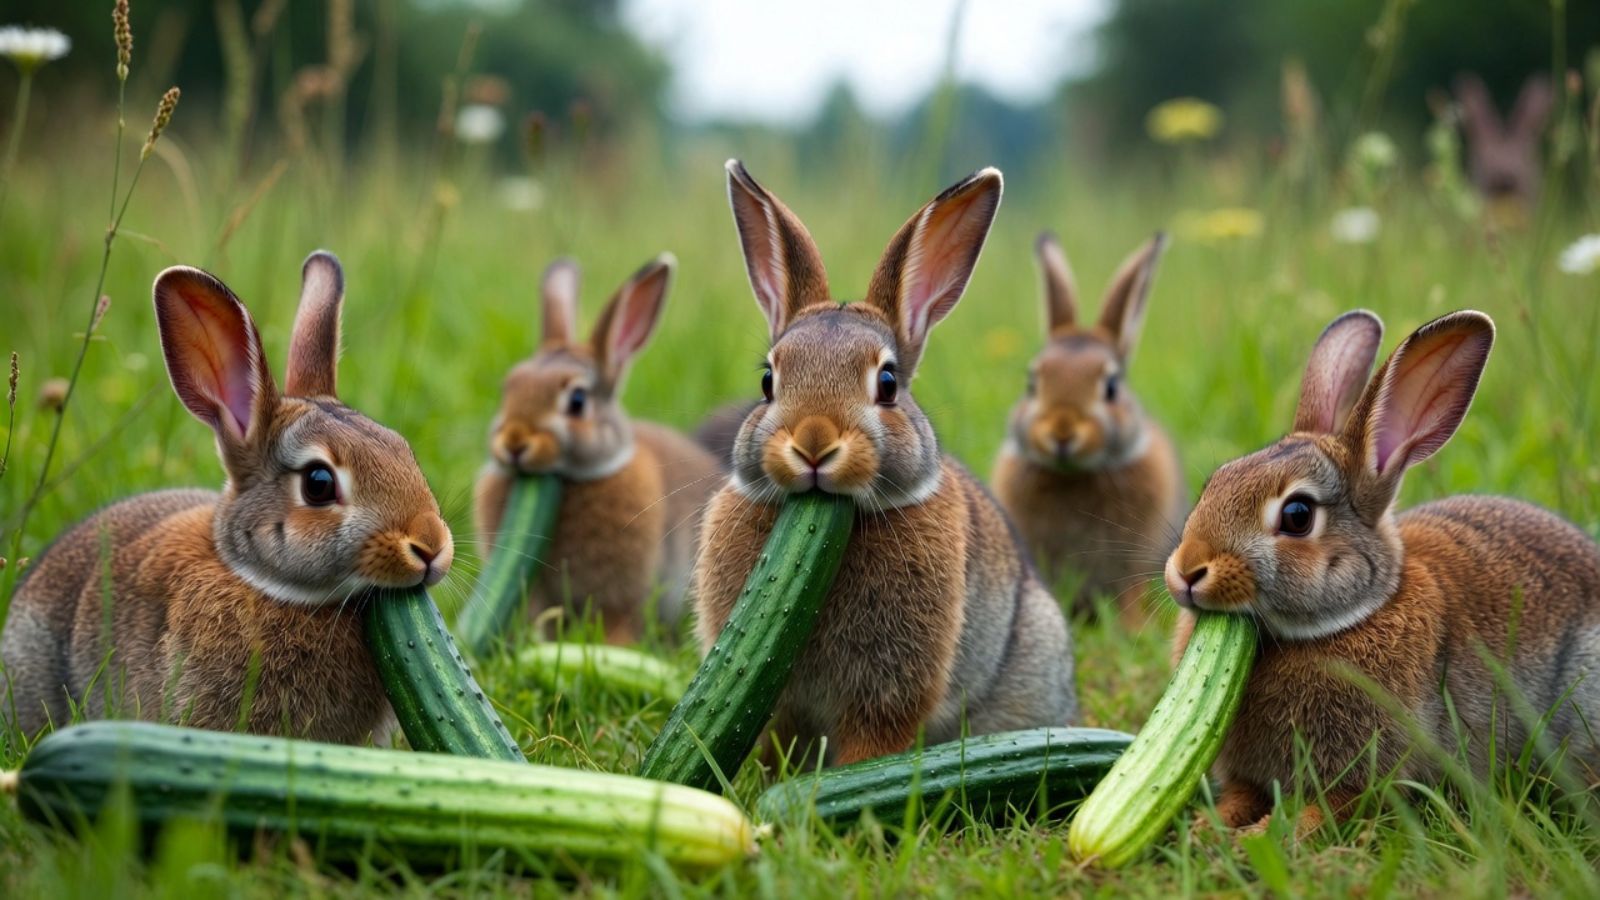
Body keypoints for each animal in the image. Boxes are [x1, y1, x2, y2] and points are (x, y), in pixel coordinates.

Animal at [993, 232, 1187, 624]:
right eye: (1032, 384)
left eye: (1111, 387)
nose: (1062, 431)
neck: (1073, 475)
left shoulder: (1131, 565)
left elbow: (1129, 595)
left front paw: (1132, 628)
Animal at [1165, 309, 1600, 836]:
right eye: (1215, 482)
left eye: (1297, 516)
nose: (1186, 572)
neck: (1358, 613)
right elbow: (1238, 798)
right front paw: (1208, 829)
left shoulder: (1365, 778)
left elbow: (1323, 811)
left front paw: (1264, 836)